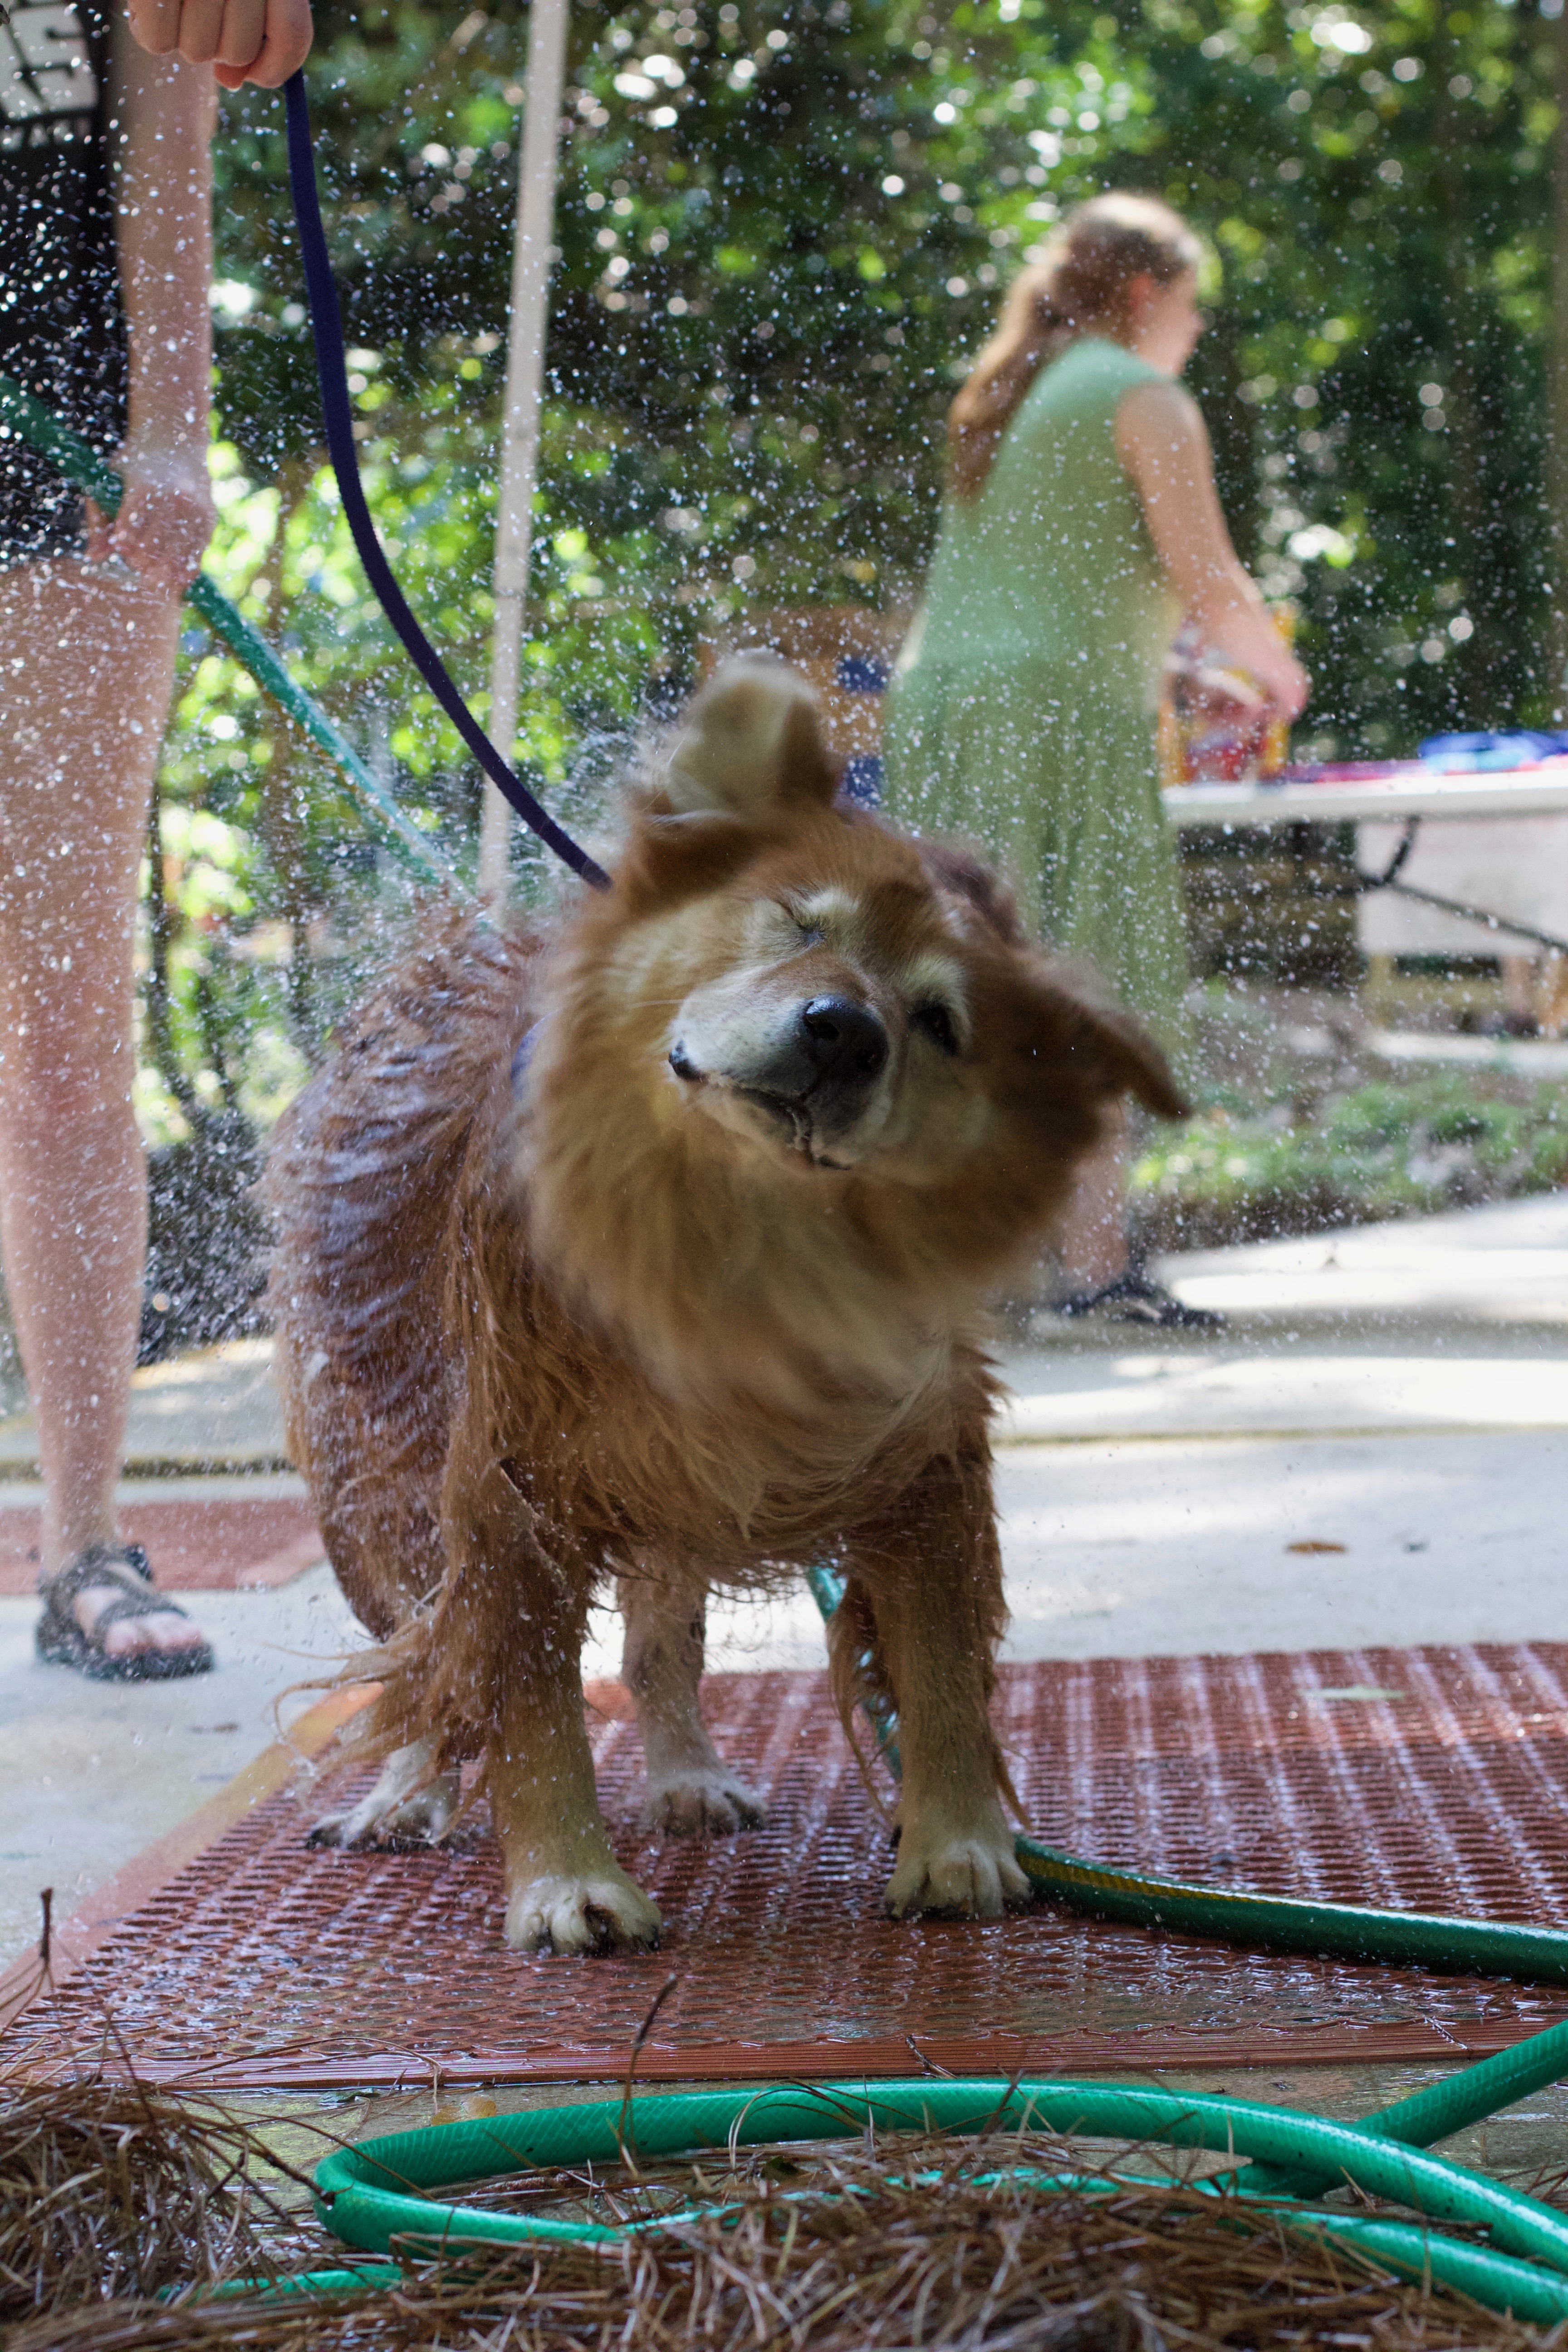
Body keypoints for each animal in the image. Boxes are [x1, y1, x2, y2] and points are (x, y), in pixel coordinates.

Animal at [263, 658, 1185, 1947]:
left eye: (940, 1023)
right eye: (798, 922)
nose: (842, 1032)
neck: (732, 1251)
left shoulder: (923, 1467)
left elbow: (942, 1675)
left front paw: (956, 1843)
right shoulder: (505, 1488)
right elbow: (517, 1703)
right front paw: (566, 1883)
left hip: (663, 1504)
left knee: (656, 1651)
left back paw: (689, 1778)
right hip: (379, 1479)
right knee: (420, 1657)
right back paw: (407, 1795)